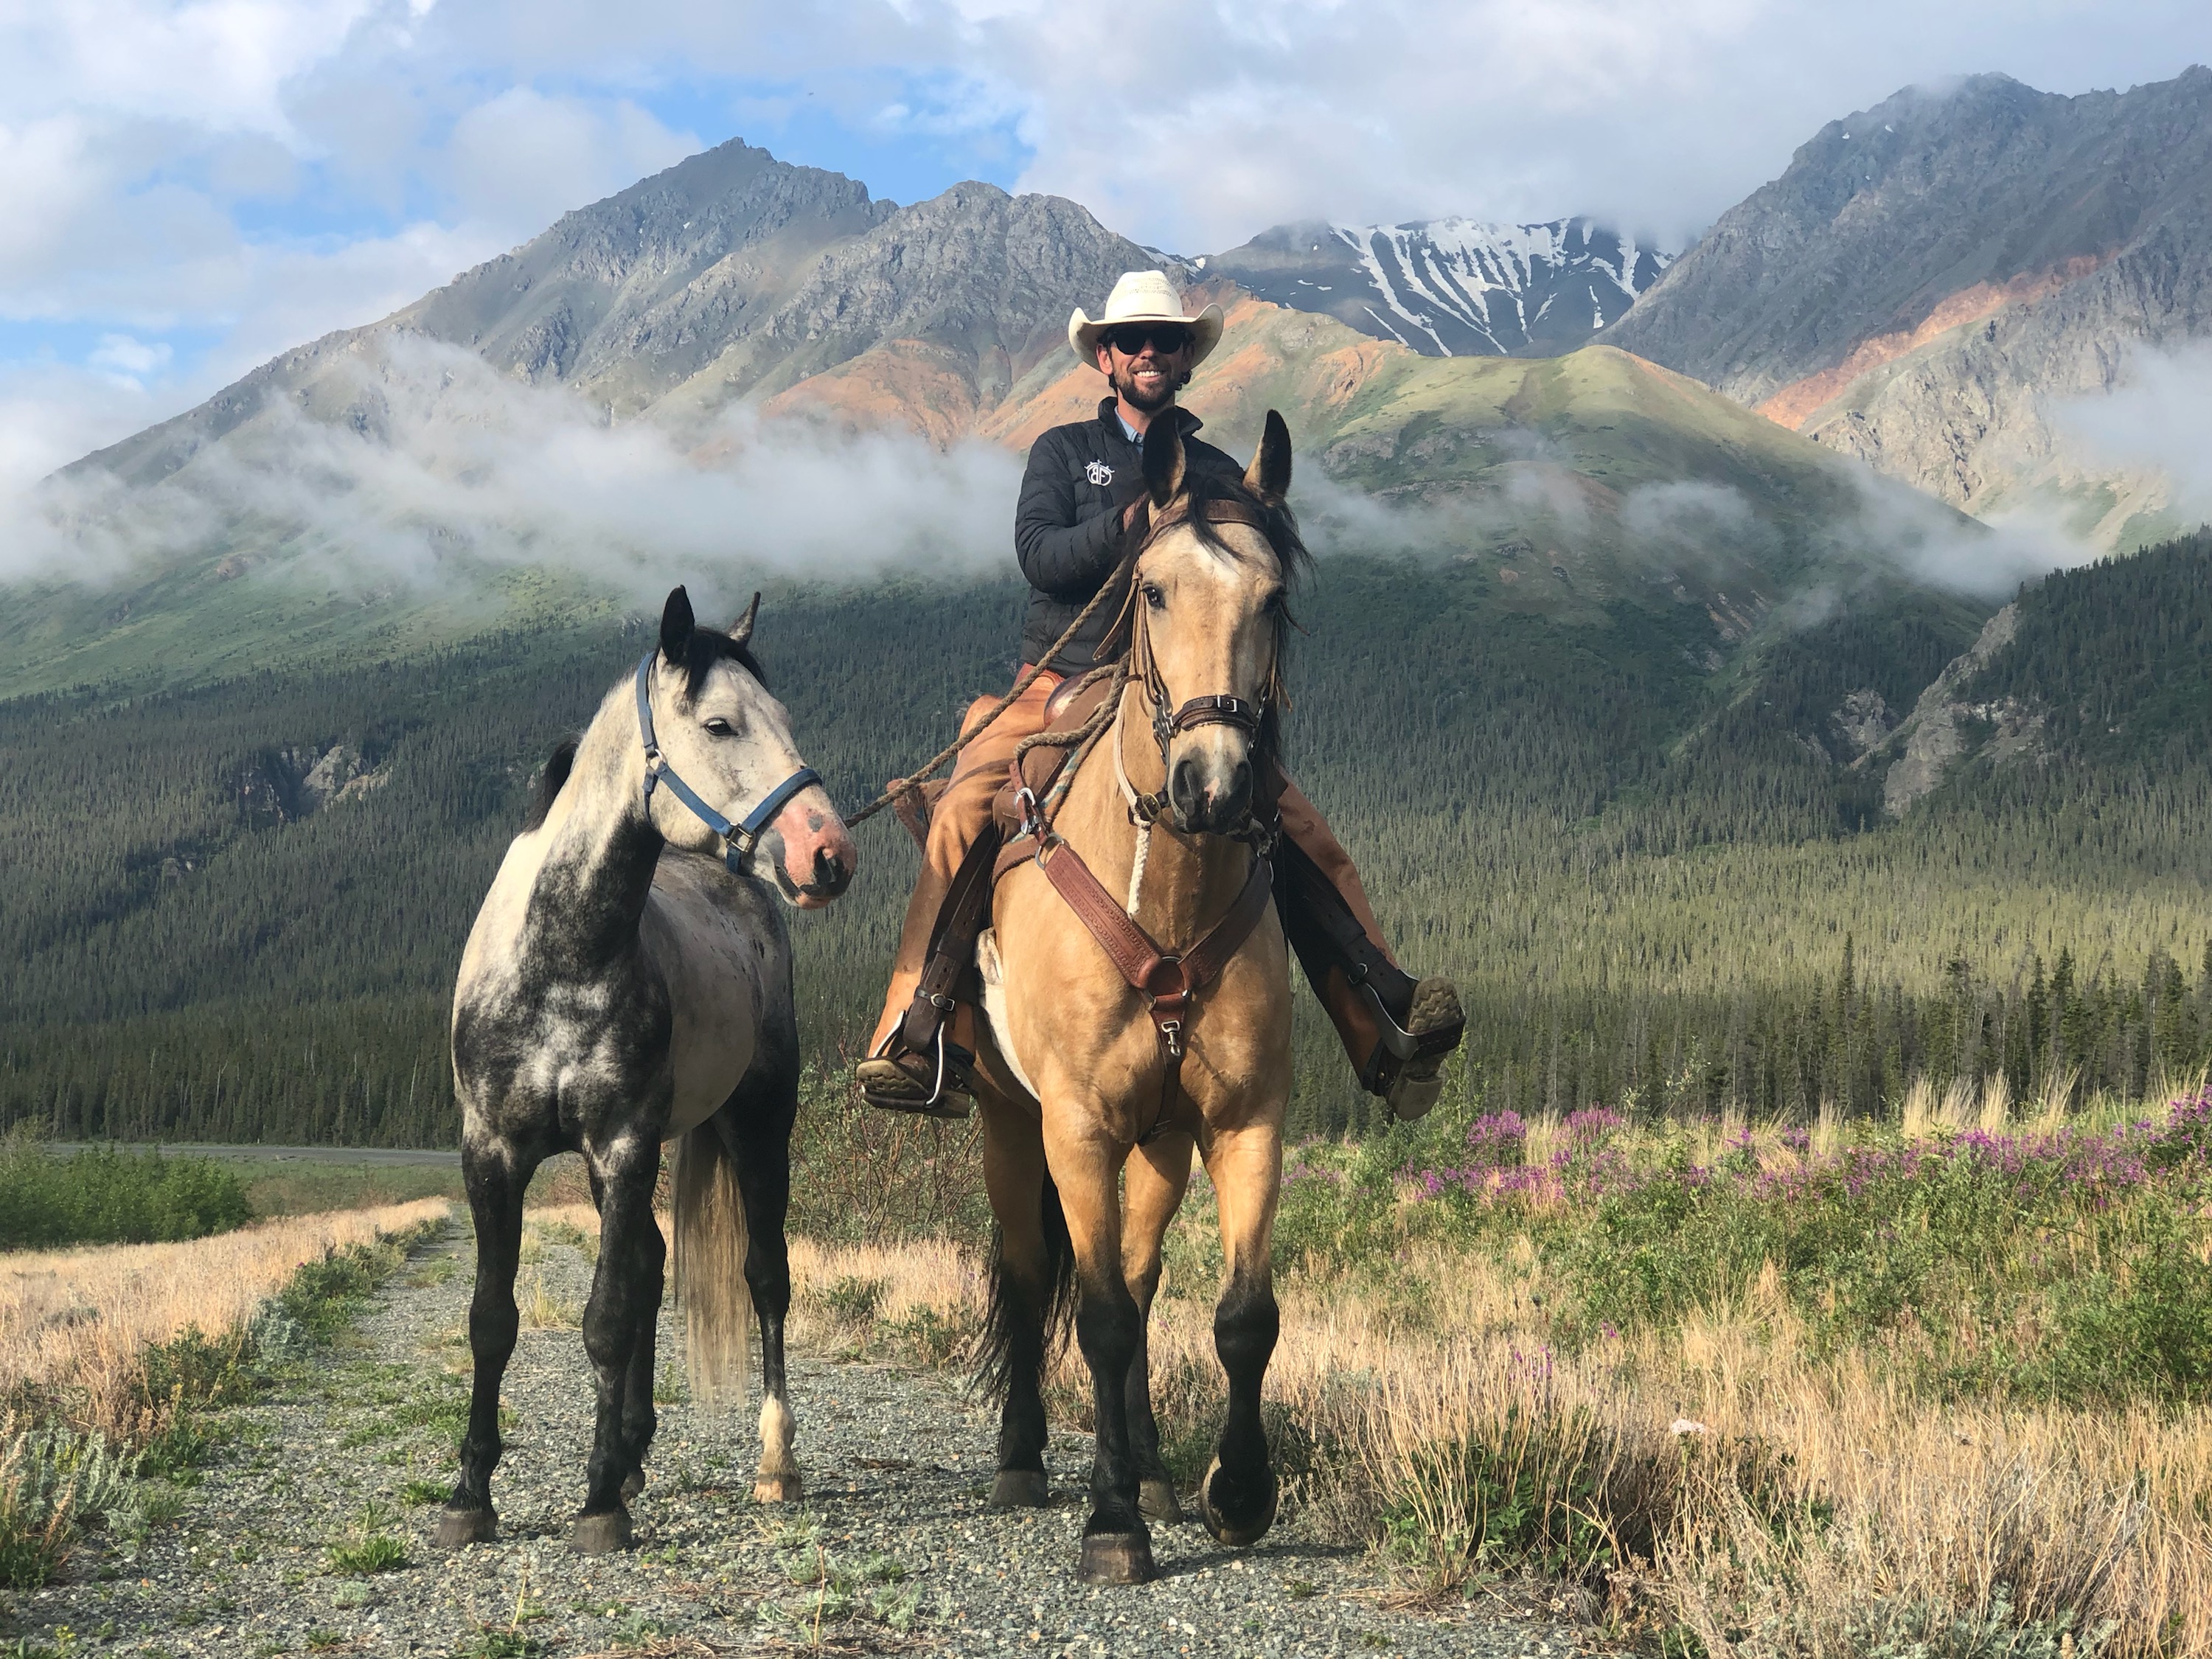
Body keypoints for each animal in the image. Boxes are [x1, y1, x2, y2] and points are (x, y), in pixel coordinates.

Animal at [438, 588, 854, 1557]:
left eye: (784, 718)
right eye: (720, 722)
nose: (829, 854)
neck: (559, 956)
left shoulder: (624, 1147)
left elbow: (606, 1316)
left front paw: (597, 1505)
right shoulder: (493, 1154)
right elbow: (493, 1320)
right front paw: (472, 1494)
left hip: (757, 1128)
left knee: (765, 1278)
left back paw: (773, 1463)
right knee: (655, 1267)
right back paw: (631, 1450)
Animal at [973, 414, 1310, 1584]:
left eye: (1275, 599)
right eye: (1153, 589)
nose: (1214, 784)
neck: (1165, 899)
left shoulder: (1246, 1119)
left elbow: (1242, 1314)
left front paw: (1235, 1492)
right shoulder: (1075, 1125)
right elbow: (1102, 1318)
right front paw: (1111, 1521)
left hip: (1160, 1142)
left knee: (1141, 1268)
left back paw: (1158, 1468)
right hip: (1007, 1117)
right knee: (1036, 1275)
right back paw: (1024, 1461)